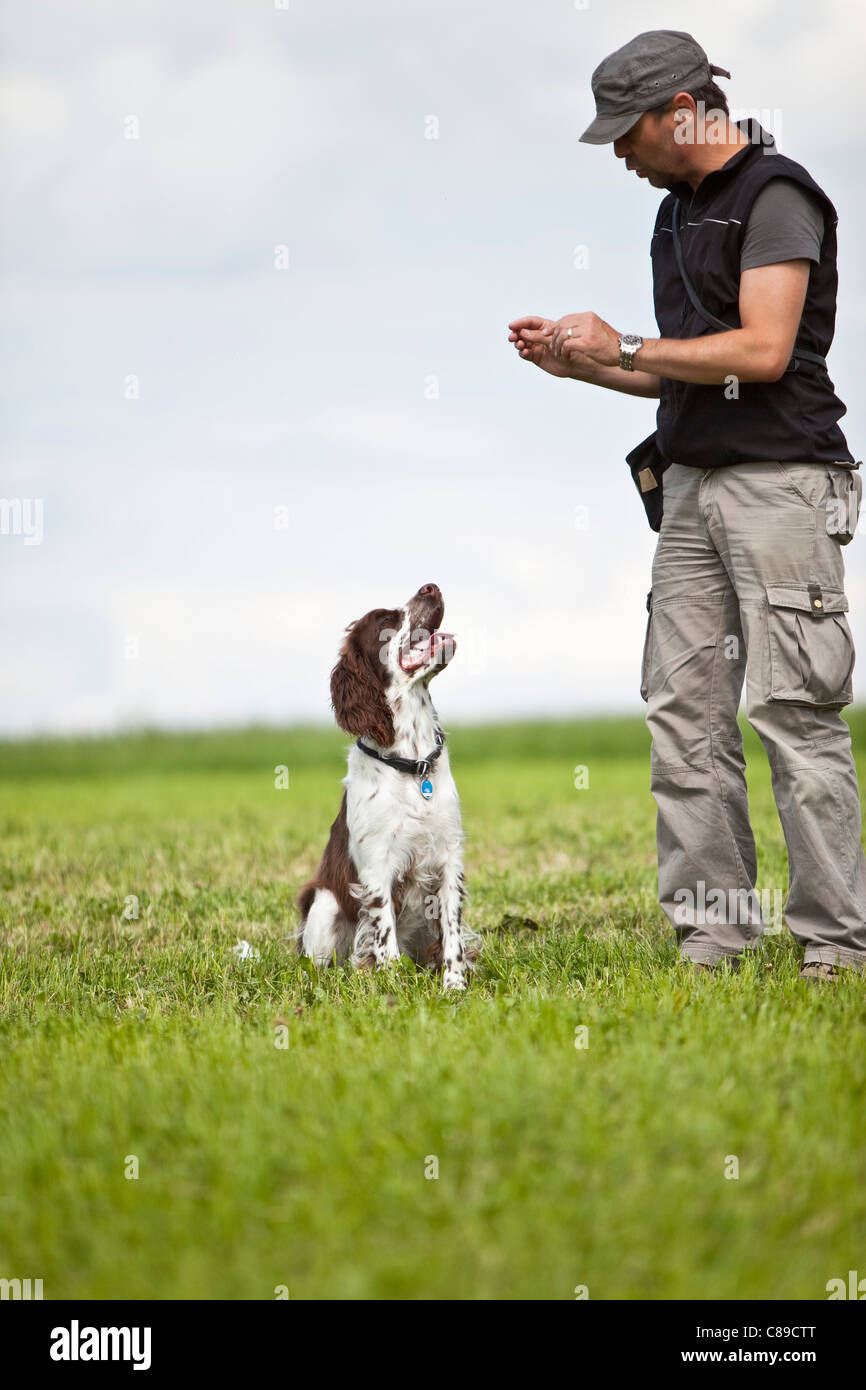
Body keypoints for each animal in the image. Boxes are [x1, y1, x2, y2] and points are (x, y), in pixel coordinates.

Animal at [296, 583, 475, 989]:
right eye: (385, 620)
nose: (431, 586)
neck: (412, 764)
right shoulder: (377, 868)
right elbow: (384, 938)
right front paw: (395, 988)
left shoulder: (448, 858)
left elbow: (452, 935)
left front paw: (455, 986)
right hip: (324, 904)